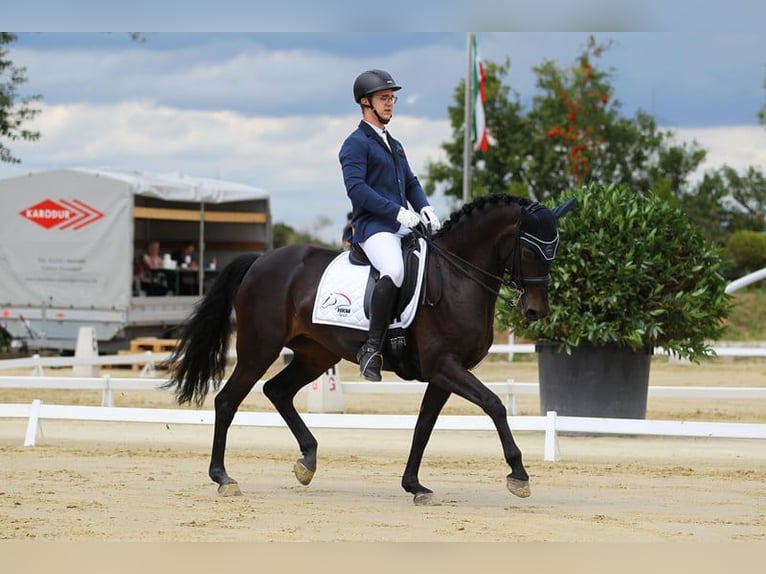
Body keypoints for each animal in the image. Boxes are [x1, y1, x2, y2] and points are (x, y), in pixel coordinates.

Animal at [165, 196, 572, 506]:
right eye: (530, 249)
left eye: (554, 250)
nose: (537, 311)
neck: (458, 278)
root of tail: (262, 260)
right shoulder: (445, 366)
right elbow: (494, 405)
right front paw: (518, 474)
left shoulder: (444, 373)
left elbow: (424, 424)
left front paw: (414, 485)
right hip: (258, 349)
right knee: (227, 401)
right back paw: (223, 477)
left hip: (316, 354)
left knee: (277, 391)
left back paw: (307, 461)